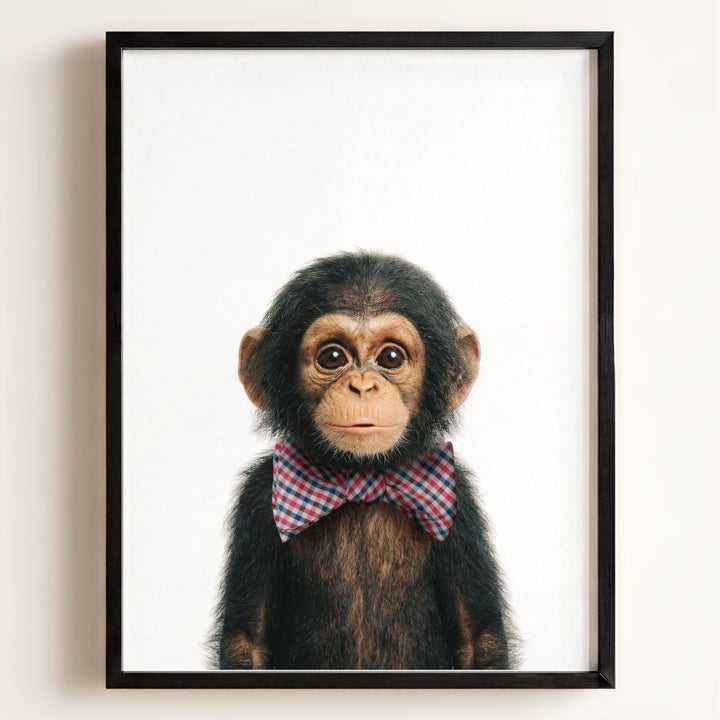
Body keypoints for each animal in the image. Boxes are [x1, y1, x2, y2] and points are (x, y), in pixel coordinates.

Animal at [212, 251, 517, 670]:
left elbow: (479, 639)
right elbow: (246, 641)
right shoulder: (258, 497)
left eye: (391, 357)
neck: (362, 477)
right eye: (332, 357)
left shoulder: (459, 501)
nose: (362, 386)